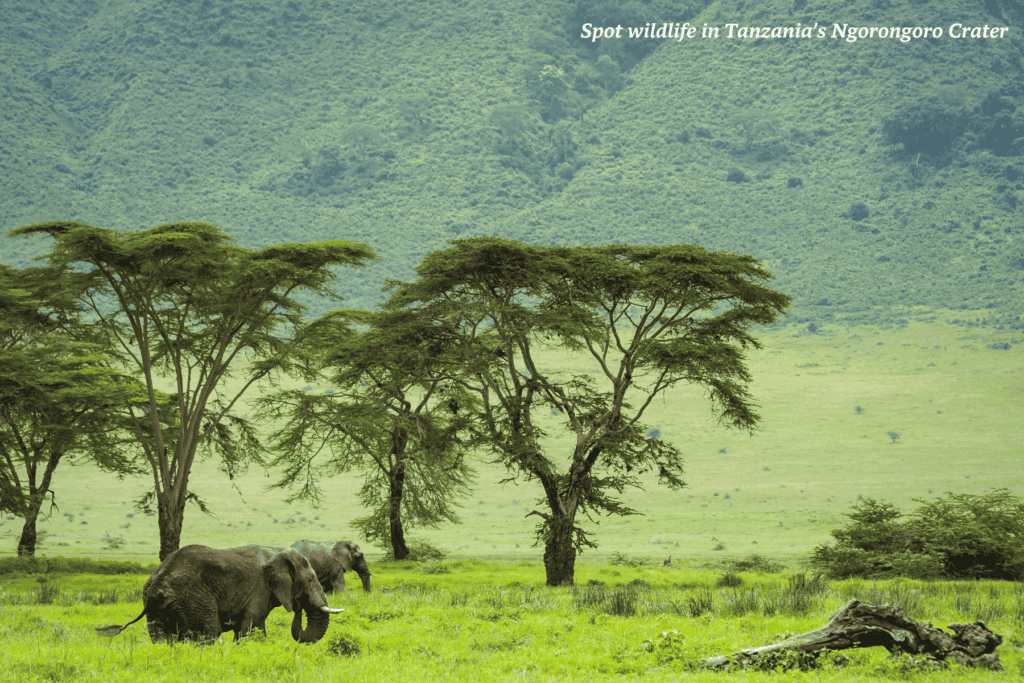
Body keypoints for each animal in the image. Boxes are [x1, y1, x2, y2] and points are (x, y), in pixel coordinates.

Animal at [95, 544, 343, 644]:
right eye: (310, 580)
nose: (299, 606)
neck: (277, 551)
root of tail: (158, 584)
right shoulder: (260, 590)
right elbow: (251, 628)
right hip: (194, 599)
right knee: (209, 634)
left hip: (154, 605)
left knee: (162, 638)